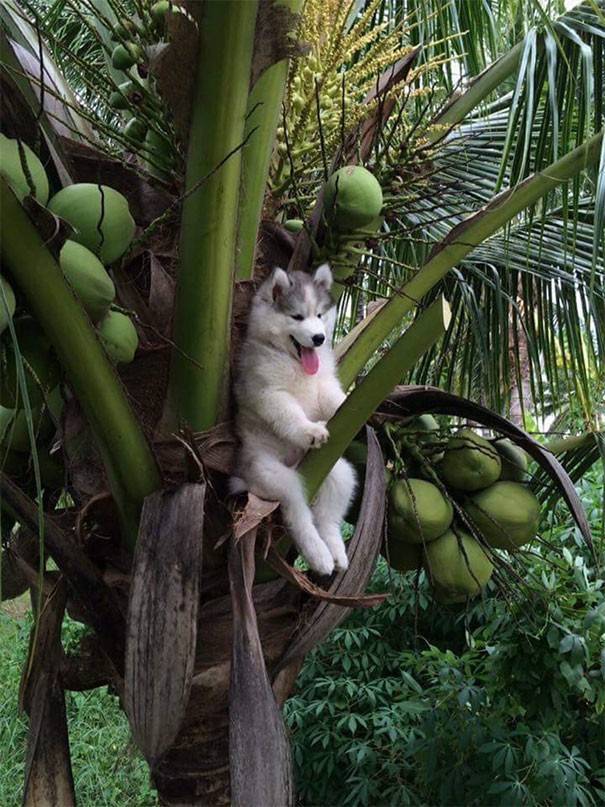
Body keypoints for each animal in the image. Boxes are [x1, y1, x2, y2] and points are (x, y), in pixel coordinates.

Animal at [230, 264, 354, 576]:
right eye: (297, 316)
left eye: (319, 315)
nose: (319, 338)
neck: (294, 363)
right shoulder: (269, 393)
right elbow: (290, 413)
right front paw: (309, 430)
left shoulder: (324, 385)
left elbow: (333, 399)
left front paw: (348, 402)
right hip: (272, 475)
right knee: (298, 513)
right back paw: (319, 555)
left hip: (339, 472)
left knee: (328, 516)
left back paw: (336, 552)